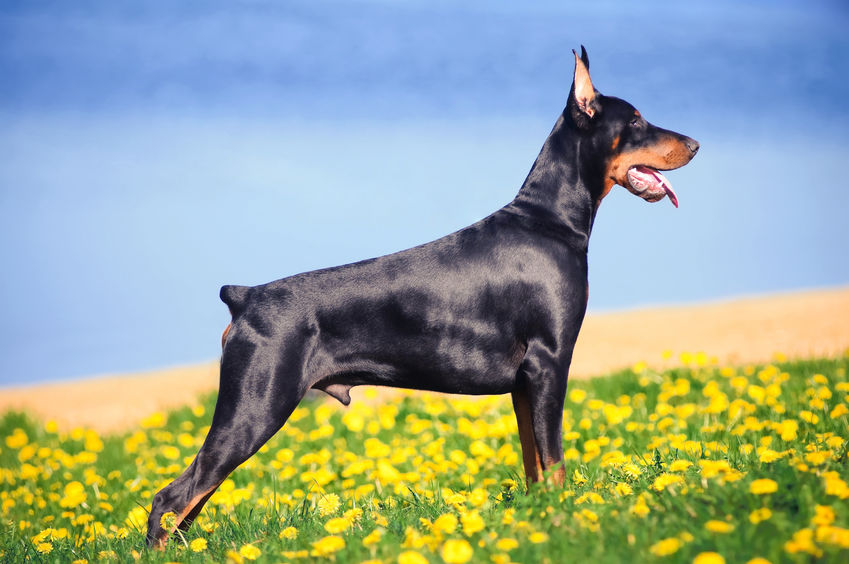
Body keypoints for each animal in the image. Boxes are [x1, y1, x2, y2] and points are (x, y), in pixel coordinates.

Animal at [149, 47, 700, 548]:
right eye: (636, 119)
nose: (695, 144)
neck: (550, 220)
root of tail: (244, 297)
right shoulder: (549, 363)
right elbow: (555, 463)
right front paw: (563, 521)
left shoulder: (525, 384)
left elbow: (535, 468)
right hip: (254, 407)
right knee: (171, 498)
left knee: (188, 502)